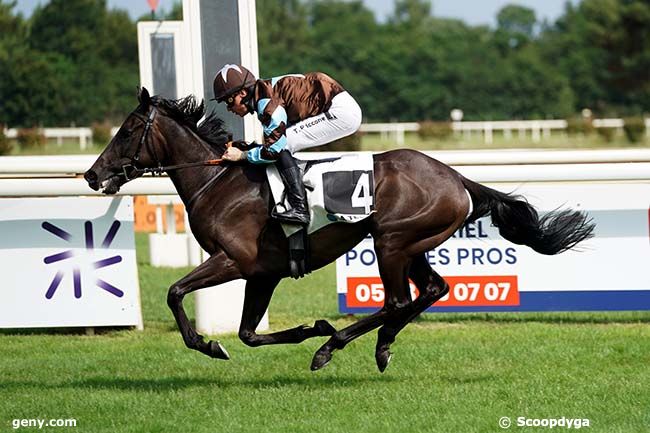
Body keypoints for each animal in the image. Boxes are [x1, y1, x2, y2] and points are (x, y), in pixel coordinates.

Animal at [85, 88, 592, 372]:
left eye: (127, 130)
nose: (92, 175)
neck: (220, 181)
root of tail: (456, 178)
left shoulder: (235, 261)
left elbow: (175, 293)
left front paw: (209, 346)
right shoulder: (263, 273)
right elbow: (248, 333)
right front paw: (307, 328)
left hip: (391, 241)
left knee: (397, 300)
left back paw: (333, 346)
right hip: (412, 244)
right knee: (431, 289)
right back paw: (380, 345)